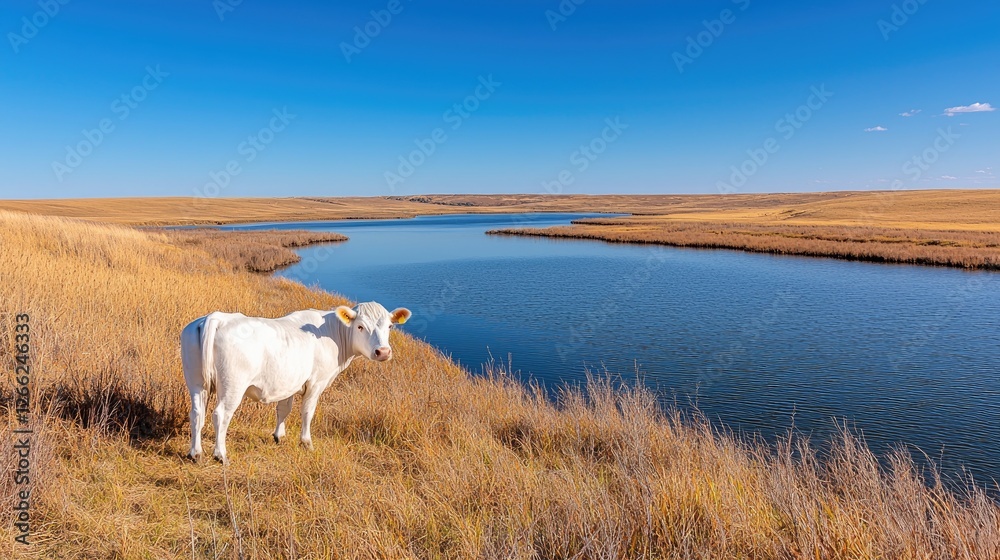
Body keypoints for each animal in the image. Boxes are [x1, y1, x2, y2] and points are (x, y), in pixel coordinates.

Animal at [180, 301, 411, 464]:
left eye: (390, 326)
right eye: (361, 326)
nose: (383, 352)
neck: (332, 333)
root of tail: (217, 317)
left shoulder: (291, 381)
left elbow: (284, 408)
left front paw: (278, 436)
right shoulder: (316, 382)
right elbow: (307, 412)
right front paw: (306, 442)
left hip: (195, 381)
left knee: (197, 413)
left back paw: (195, 453)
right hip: (233, 385)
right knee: (221, 415)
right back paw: (220, 455)